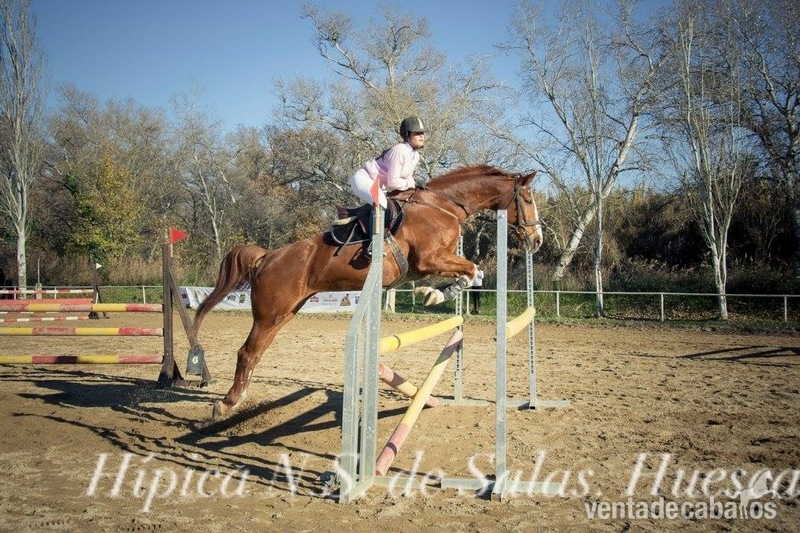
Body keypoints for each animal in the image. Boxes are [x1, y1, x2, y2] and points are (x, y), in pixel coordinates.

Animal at [191, 164, 543, 418]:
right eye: (527, 200)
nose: (536, 240)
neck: (443, 207)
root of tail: (267, 256)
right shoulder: (429, 259)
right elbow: (470, 270)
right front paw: (433, 293)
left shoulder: (436, 261)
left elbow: (474, 272)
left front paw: (434, 293)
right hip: (270, 313)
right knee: (247, 352)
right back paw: (225, 404)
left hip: (284, 313)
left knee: (257, 352)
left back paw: (237, 399)